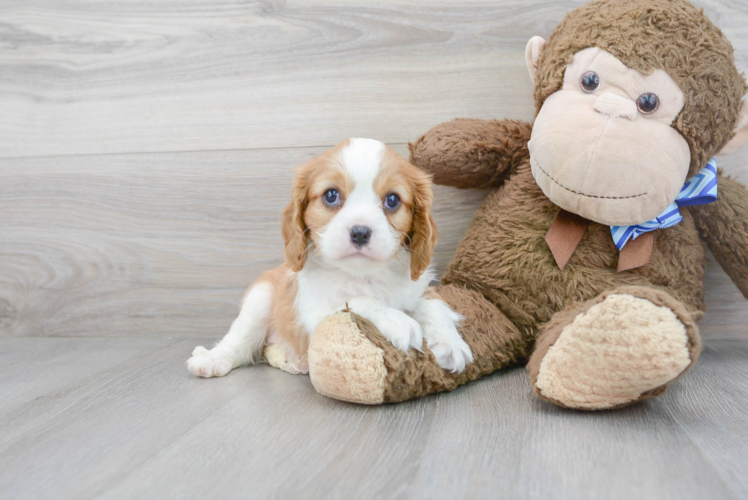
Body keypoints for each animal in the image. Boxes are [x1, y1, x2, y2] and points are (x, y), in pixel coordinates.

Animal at [187, 137, 474, 378]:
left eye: (392, 200)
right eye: (331, 195)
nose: (360, 232)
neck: (364, 275)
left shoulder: (417, 289)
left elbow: (433, 305)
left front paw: (450, 343)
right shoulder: (319, 316)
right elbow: (357, 301)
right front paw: (398, 320)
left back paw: (291, 359)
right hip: (260, 299)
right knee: (240, 343)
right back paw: (213, 359)